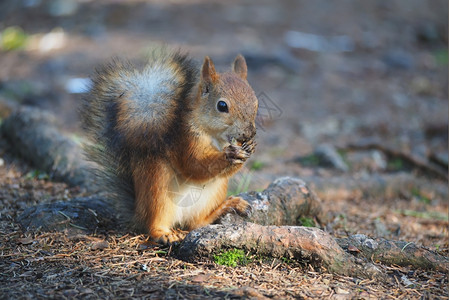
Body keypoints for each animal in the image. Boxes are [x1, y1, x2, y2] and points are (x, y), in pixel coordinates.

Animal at [79, 47, 258, 244]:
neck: (214, 136)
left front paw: (249, 147)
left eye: (256, 102)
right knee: (155, 223)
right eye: (222, 106)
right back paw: (164, 233)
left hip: (215, 191)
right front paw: (230, 155)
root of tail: (138, 213)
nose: (249, 133)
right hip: (158, 186)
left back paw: (227, 206)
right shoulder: (184, 140)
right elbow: (194, 166)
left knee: (196, 223)